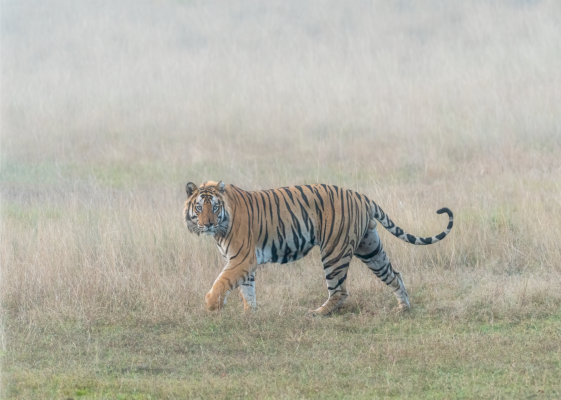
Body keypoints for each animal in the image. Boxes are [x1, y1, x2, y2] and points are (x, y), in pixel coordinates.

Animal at [184, 181, 450, 316]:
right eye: (199, 208)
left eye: (214, 207)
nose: (207, 223)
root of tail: (361, 196)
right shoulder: (244, 262)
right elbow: (247, 290)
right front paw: (251, 313)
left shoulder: (241, 259)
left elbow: (222, 283)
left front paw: (212, 306)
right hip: (370, 247)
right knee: (394, 274)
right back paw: (403, 307)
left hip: (334, 252)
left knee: (340, 290)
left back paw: (318, 313)